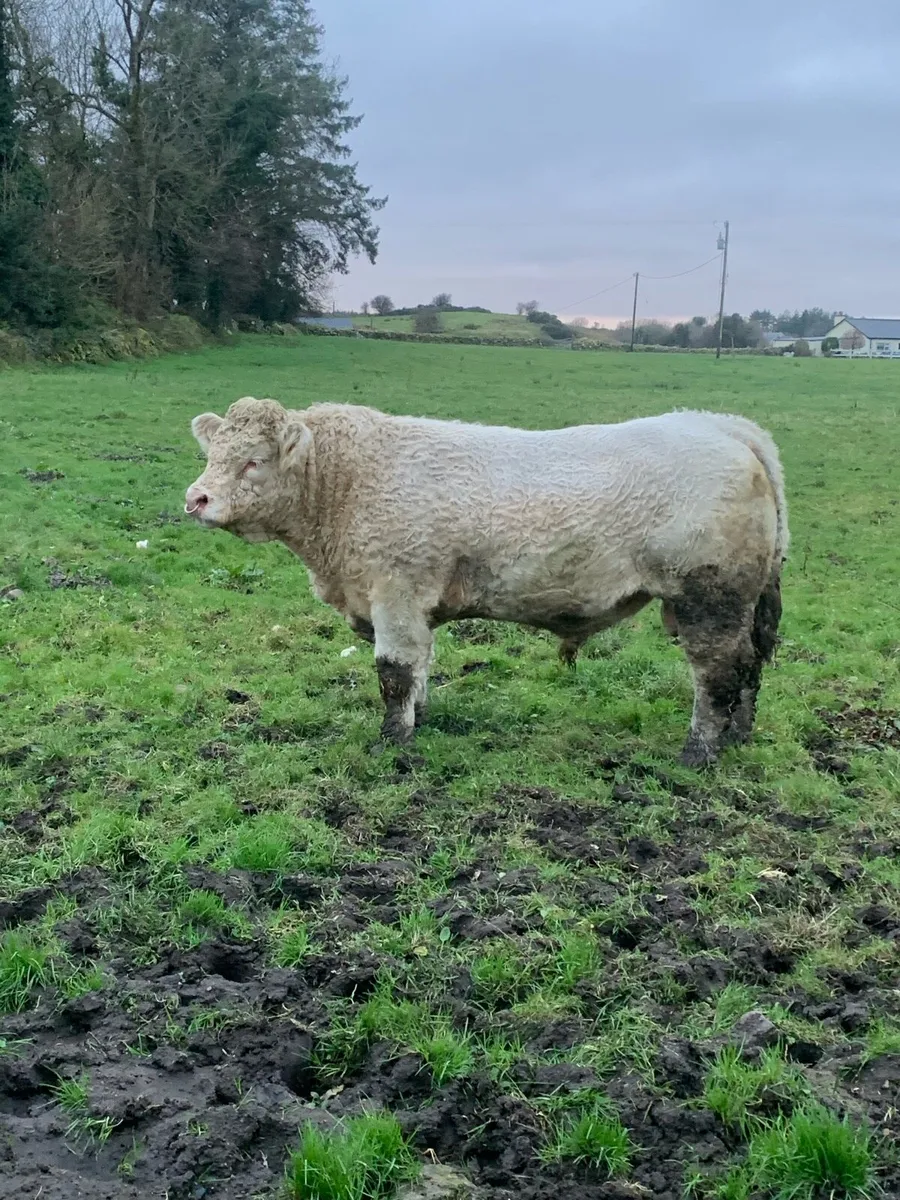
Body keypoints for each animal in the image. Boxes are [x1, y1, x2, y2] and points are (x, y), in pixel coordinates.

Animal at [184, 398, 788, 767]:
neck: (346, 484)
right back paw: (739, 737)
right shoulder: (415, 603)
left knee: (719, 673)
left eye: (254, 461)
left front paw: (393, 743)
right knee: (751, 665)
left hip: (710, 598)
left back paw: (700, 752)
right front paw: (420, 720)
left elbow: (393, 672)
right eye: (213, 453)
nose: (196, 498)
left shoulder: (395, 591)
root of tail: (720, 424)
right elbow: (420, 668)